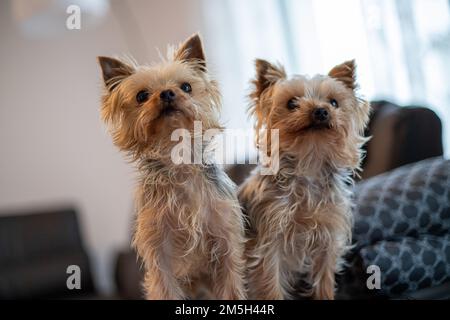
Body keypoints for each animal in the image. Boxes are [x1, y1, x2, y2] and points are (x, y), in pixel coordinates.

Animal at [97, 33, 246, 298]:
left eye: (186, 87)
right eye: (142, 96)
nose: (167, 93)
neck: (177, 160)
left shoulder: (224, 240)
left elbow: (231, 286)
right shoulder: (160, 254)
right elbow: (164, 287)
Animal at [239, 58, 370, 298]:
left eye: (334, 102)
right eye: (292, 103)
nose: (321, 111)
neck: (309, 164)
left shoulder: (327, 239)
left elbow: (324, 282)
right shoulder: (269, 244)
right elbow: (271, 286)